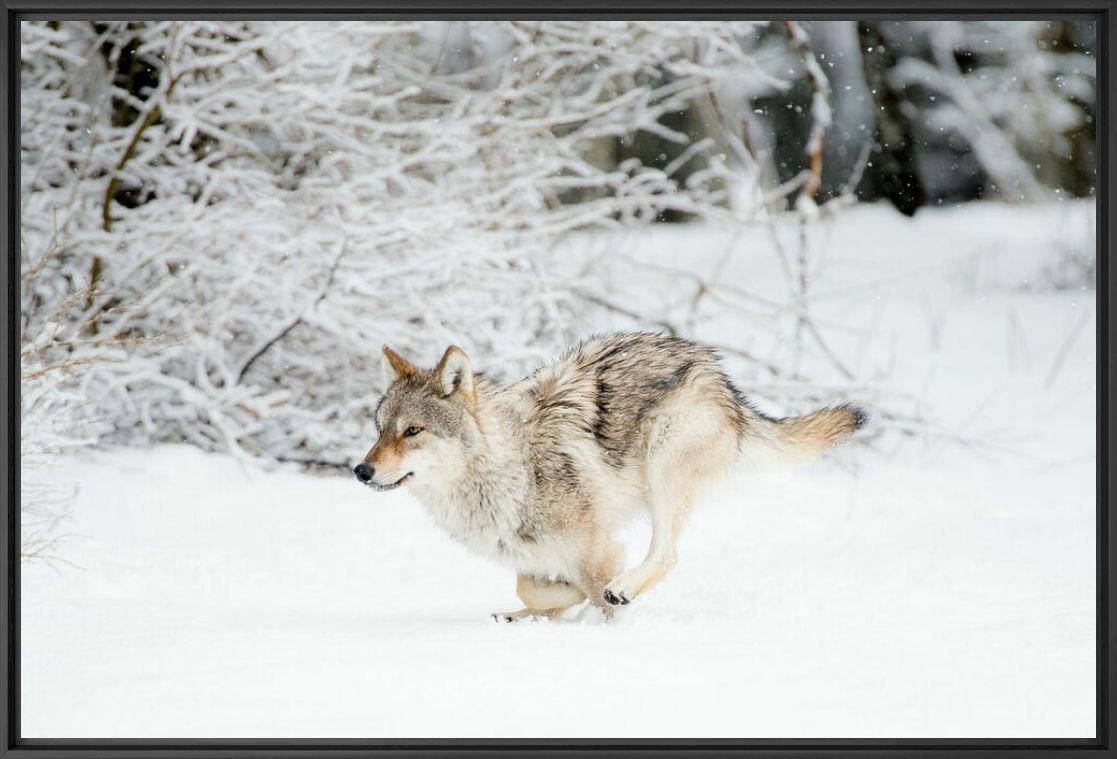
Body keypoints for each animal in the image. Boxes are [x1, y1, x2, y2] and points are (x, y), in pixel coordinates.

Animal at [352, 333, 866, 621]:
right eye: (379, 430)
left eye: (413, 431)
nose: (361, 470)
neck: (508, 468)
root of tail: (719, 375)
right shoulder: (531, 554)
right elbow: (531, 586)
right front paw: (552, 606)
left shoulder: (595, 545)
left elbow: (596, 585)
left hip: (663, 466)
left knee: (666, 554)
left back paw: (622, 589)